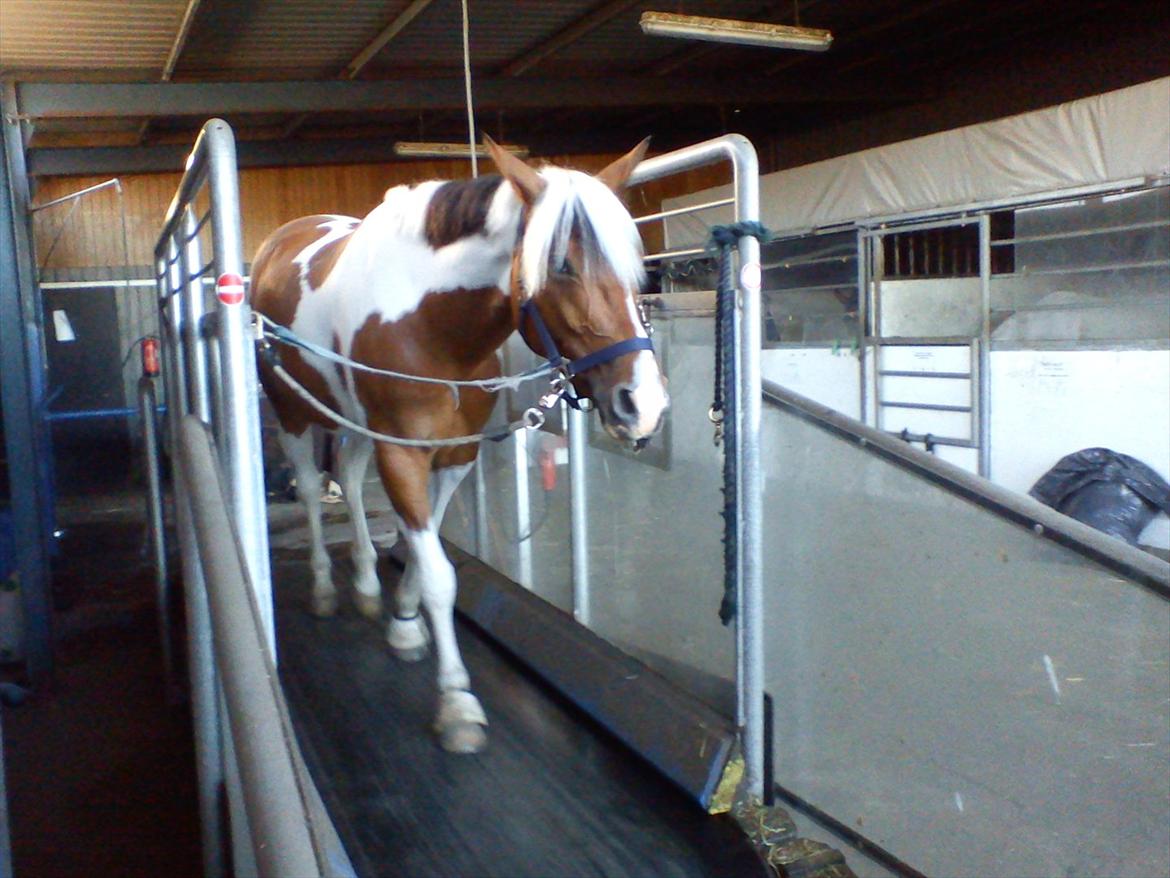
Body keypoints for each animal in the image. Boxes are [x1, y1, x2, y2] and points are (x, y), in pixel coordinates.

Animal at [249, 137, 669, 753]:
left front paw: (403, 618)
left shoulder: (454, 455)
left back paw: (366, 582)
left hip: (353, 417)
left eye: (636, 268)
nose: (644, 405)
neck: (430, 325)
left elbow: (422, 549)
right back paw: (325, 585)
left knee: (347, 475)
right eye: (562, 265)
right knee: (307, 487)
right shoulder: (401, 452)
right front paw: (456, 698)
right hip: (293, 410)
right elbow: (440, 575)